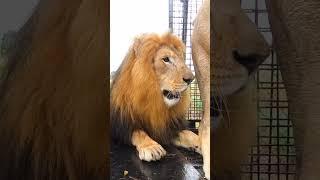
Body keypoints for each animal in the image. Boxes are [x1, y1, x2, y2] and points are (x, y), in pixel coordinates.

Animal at [110, 32, 200, 162]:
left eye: (181, 59)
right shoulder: (120, 126)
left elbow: (189, 134)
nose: (191, 79)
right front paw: (151, 147)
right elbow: (138, 132)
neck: (155, 100)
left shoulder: (168, 128)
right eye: (166, 59)